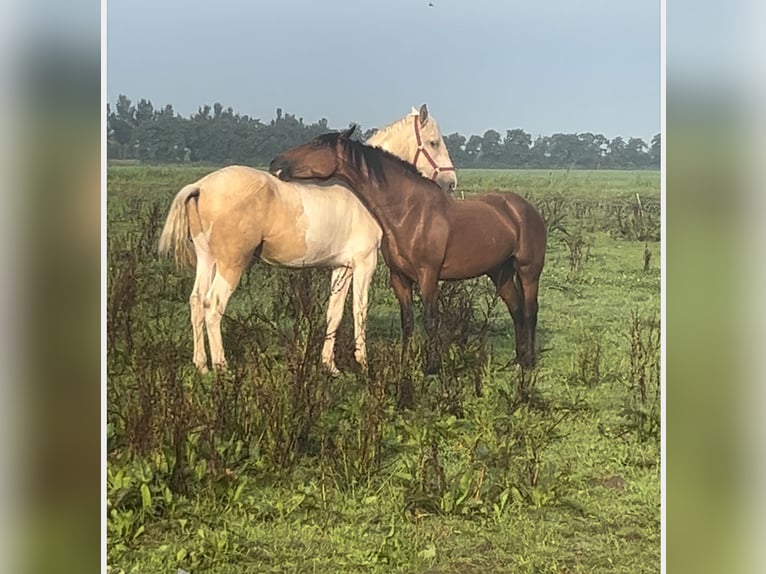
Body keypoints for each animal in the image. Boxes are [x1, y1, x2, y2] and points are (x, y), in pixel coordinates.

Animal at [157, 106, 456, 376]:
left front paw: (330, 366)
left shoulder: (342, 268)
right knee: (213, 305)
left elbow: (334, 314)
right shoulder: (364, 263)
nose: (451, 181)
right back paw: (221, 367)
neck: (360, 194)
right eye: (433, 142)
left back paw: (201, 365)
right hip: (231, 265)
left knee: (196, 302)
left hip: (207, 259)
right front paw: (363, 365)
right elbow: (359, 311)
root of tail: (201, 186)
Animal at [272, 127, 548, 374]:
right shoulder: (400, 279)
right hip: (500, 273)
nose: (277, 162)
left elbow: (430, 319)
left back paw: (529, 362)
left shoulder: (428, 277)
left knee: (530, 311)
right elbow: (407, 321)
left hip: (528, 271)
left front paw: (431, 367)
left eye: (318, 144)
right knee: (516, 310)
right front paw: (405, 362)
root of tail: (524, 209)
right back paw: (517, 359)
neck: (410, 212)